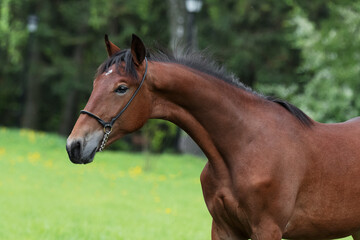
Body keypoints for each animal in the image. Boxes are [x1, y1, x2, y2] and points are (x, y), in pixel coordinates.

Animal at [65, 34, 360, 240]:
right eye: (95, 84)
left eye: (121, 88)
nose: (74, 146)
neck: (245, 145)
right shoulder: (223, 228)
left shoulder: (268, 229)